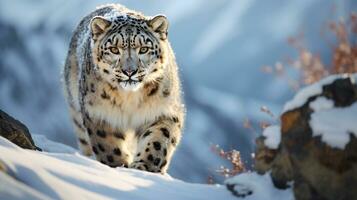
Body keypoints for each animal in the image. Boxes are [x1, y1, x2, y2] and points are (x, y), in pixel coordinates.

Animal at [62, 4, 184, 173]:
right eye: (114, 49)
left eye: (144, 49)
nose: (129, 71)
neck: (130, 98)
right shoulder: (101, 114)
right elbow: (108, 147)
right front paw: (119, 166)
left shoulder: (163, 112)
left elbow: (158, 141)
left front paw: (144, 167)